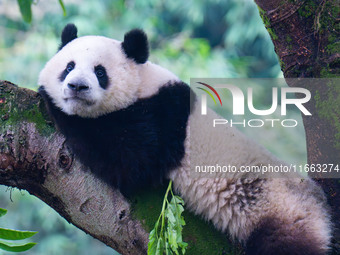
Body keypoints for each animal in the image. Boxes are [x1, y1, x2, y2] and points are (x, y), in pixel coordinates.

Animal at [37, 24, 332, 255]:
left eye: (100, 72)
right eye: (69, 67)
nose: (76, 86)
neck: (143, 84)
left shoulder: (162, 119)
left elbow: (129, 164)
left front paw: (49, 100)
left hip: (283, 211)